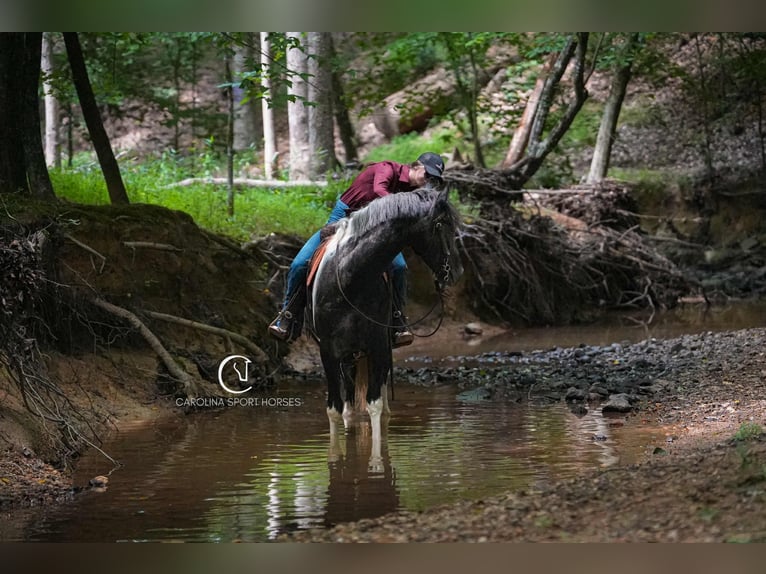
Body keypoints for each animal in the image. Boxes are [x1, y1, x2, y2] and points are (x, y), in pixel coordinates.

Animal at [306, 187, 463, 468]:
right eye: (442, 225)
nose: (457, 272)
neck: (351, 278)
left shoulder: (378, 346)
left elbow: (376, 405)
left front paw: (377, 464)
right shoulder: (328, 352)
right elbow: (333, 408)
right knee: (348, 404)